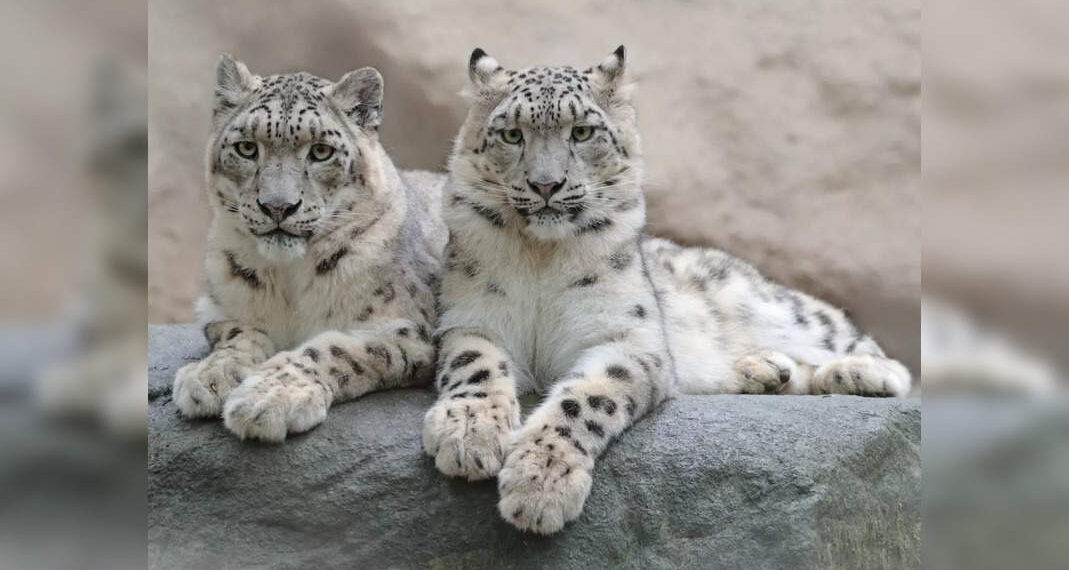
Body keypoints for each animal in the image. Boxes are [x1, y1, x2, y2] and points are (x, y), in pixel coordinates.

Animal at [172, 55, 447, 442]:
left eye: (320, 151)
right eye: (246, 147)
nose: (277, 207)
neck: (288, 280)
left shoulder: (408, 328)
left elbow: (335, 349)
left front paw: (268, 398)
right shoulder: (219, 308)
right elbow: (238, 333)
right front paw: (210, 376)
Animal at [421, 46, 913, 534]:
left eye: (581, 131)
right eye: (511, 134)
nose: (546, 184)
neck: (542, 256)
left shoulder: (629, 339)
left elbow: (585, 400)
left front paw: (540, 483)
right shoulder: (471, 319)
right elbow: (475, 367)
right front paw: (468, 433)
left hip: (767, 305)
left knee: (852, 339)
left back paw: (861, 373)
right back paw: (764, 369)